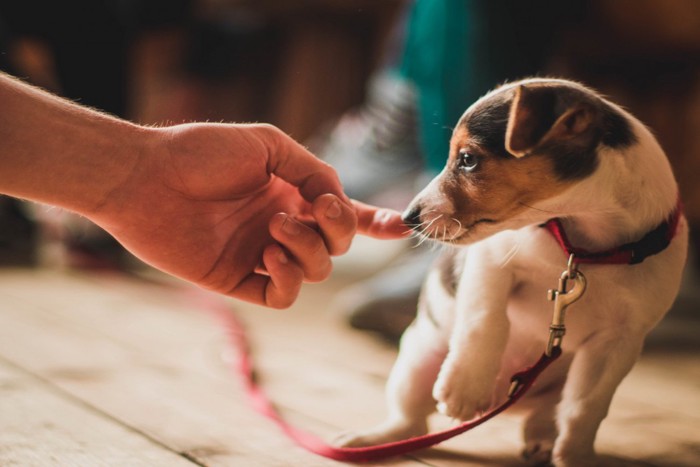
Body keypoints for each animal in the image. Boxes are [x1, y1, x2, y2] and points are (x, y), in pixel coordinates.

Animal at [340, 78, 688, 466]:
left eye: (468, 159)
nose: (408, 218)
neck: (584, 250)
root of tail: (508, 404)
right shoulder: (490, 260)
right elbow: (486, 320)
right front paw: (466, 387)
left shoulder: (619, 341)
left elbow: (584, 409)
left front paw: (576, 455)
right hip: (416, 361)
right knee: (410, 421)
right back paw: (372, 439)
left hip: (553, 390)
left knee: (547, 416)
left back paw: (542, 442)